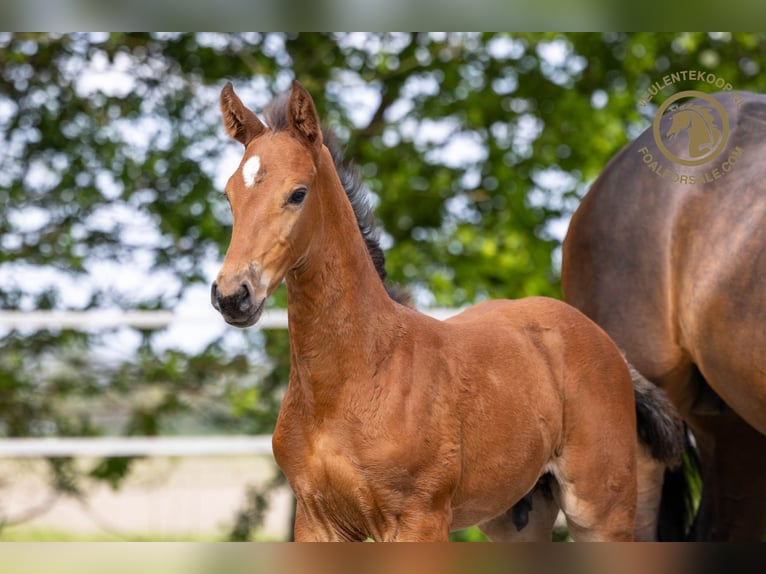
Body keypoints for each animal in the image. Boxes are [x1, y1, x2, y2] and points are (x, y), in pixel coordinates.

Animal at [212, 81, 684, 544]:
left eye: (297, 193)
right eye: (230, 196)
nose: (233, 295)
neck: (354, 378)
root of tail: (610, 347)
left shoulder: (420, 518)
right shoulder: (316, 520)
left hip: (601, 512)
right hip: (517, 517)